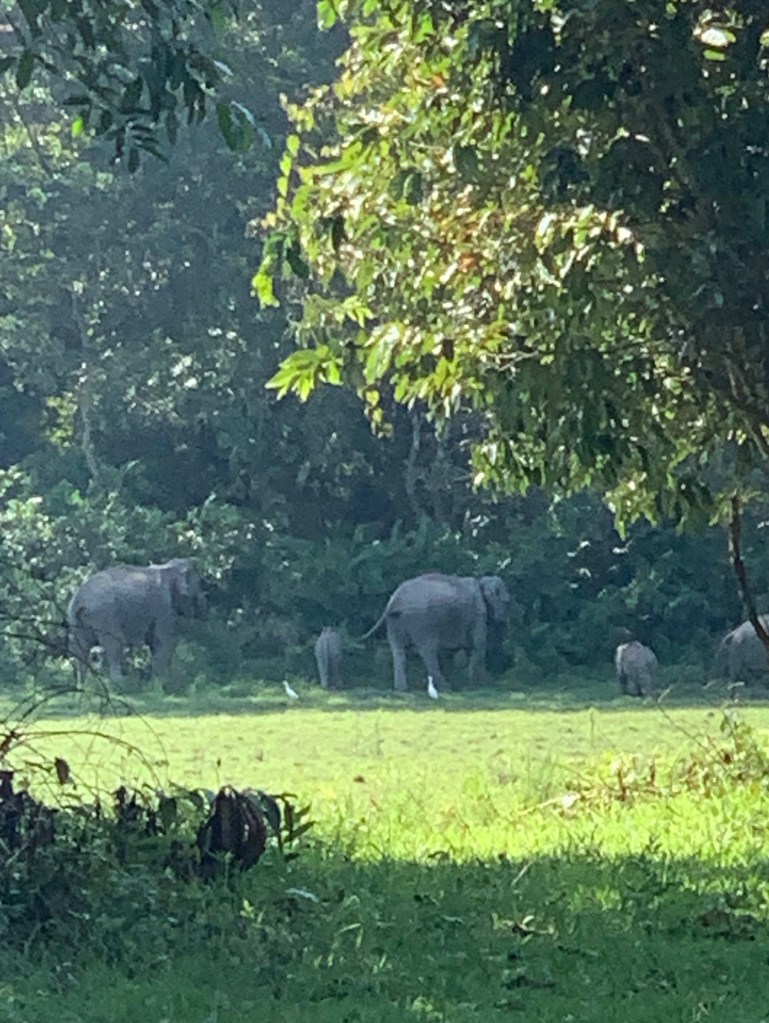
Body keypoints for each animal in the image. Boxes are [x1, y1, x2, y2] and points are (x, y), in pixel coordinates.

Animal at [66, 558, 205, 684]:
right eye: (198, 583)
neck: (167, 568)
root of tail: (79, 600)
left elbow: (154, 642)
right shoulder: (163, 607)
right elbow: (164, 640)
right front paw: (161, 681)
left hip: (76, 621)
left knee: (80, 650)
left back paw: (83, 685)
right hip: (104, 616)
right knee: (115, 645)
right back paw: (120, 682)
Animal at [362, 572, 511, 692]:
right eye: (506, 602)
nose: (503, 620)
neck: (482, 582)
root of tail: (394, 601)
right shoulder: (478, 614)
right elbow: (479, 644)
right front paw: (479, 682)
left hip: (395, 622)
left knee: (398, 651)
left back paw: (402, 689)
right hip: (421, 622)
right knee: (428, 652)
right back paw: (446, 687)